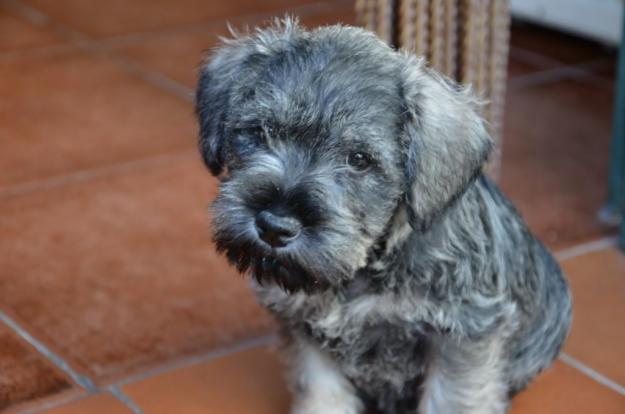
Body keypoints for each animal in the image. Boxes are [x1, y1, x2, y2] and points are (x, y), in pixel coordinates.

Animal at [194, 17, 572, 412]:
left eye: (359, 159)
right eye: (258, 132)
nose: (275, 227)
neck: (363, 267)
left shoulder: (462, 334)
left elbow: (450, 399)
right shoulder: (307, 330)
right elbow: (322, 395)